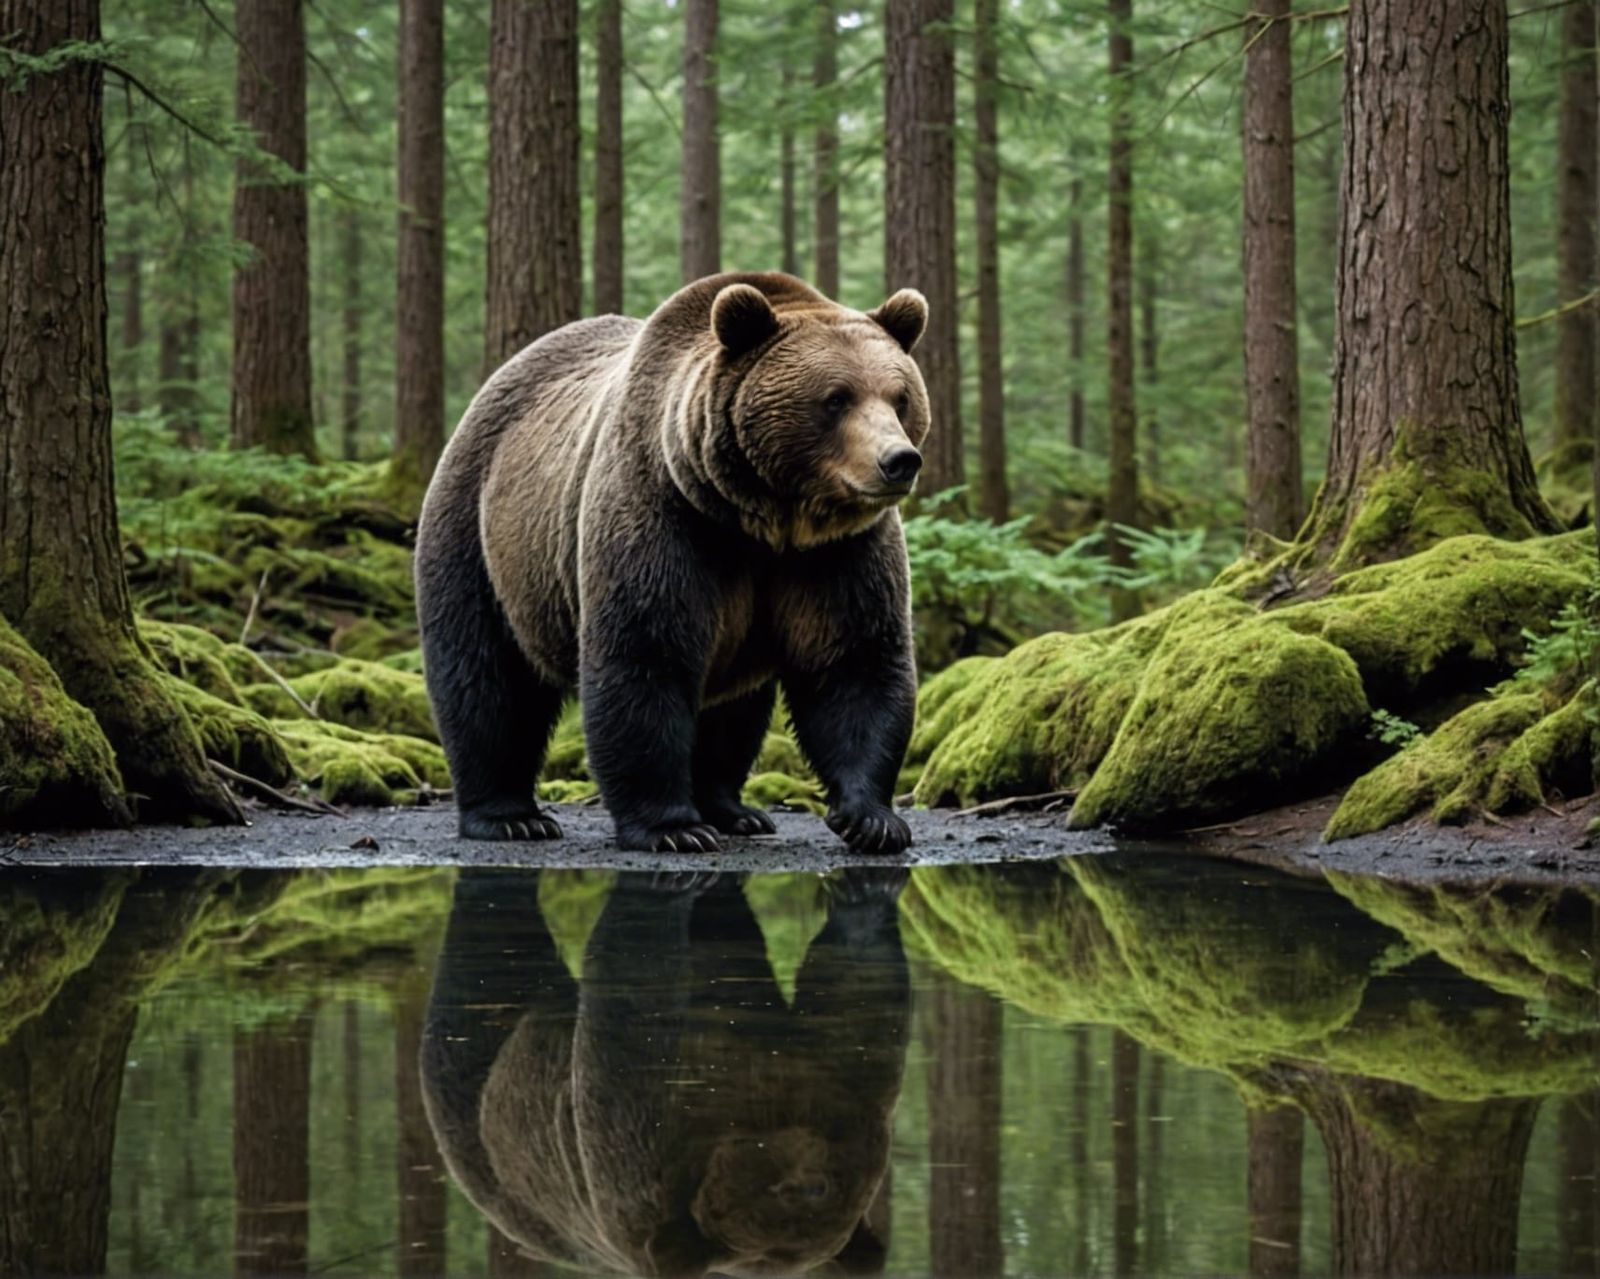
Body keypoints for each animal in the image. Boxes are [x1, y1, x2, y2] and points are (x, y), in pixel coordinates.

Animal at [414, 272, 929, 853]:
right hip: (483, 534)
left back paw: (733, 810)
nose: (898, 460)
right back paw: (509, 816)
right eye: (836, 398)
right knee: (487, 678)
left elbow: (855, 661)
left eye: (900, 397)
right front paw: (673, 828)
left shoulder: (837, 553)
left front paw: (872, 819)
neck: (763, 521)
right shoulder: (664, 516)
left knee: (734, 708)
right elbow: (645, 655)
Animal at [419, 867, 910, 1276]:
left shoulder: (839, 1069)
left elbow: (857, 985)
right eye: (790, 1192)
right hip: (481, 1078)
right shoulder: (639, 1131)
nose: (805, 1180)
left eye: (824, 1189)